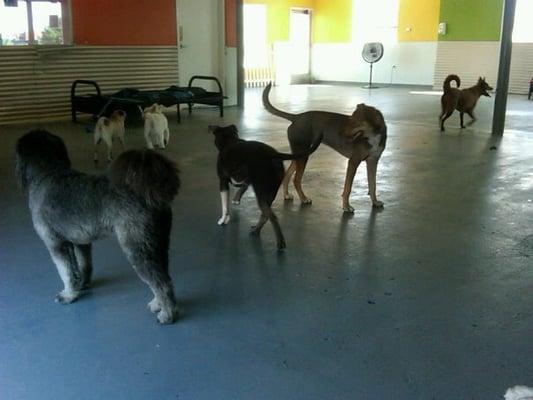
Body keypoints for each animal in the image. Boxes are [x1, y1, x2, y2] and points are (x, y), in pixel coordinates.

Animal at [15, 130, 181, 324]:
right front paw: (83, 284)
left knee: (161, 283)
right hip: (157, 244)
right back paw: (157, 304)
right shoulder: (81, 242)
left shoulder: (56, 244)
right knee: (163, 276)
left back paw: (167, 314)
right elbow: (83, 265)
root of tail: (148, 193)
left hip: (137, 248)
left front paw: (69, 295)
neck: (47, 173)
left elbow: (66, 272)